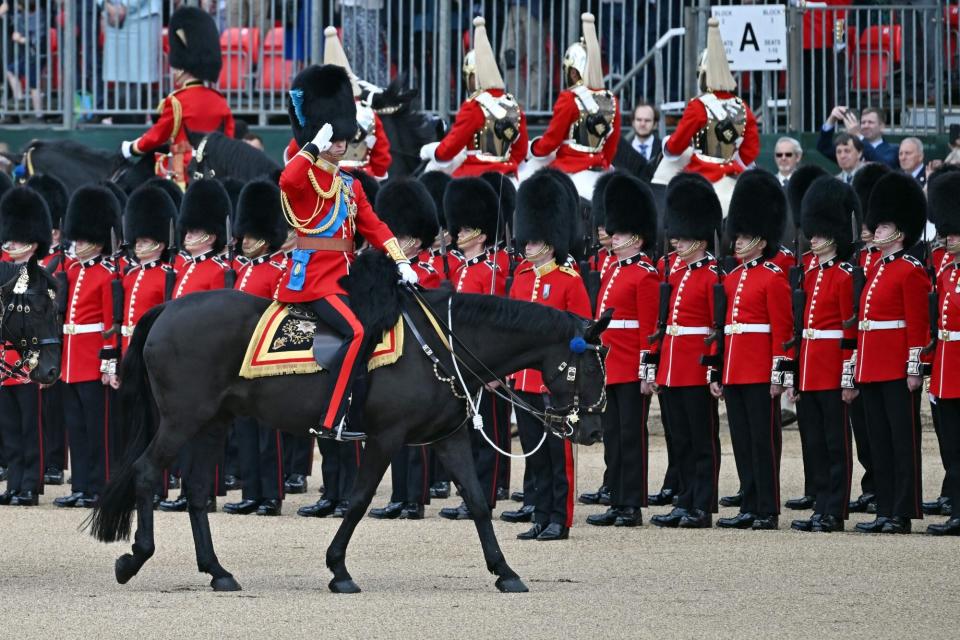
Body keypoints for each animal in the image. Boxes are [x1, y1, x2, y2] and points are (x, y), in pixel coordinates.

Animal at [86, 252, 604, 592]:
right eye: (590, 364)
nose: (592, 431)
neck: (444, 345)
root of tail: (169, 308)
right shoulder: (386, 437)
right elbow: (356, 501)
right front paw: (338, 569)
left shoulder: (448, 438)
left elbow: (477, 503)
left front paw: (505, 572)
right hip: (182, 419)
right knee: (147, 472)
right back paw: (134, 558)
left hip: (214, 421)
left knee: (194, 492)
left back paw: (218, 572)